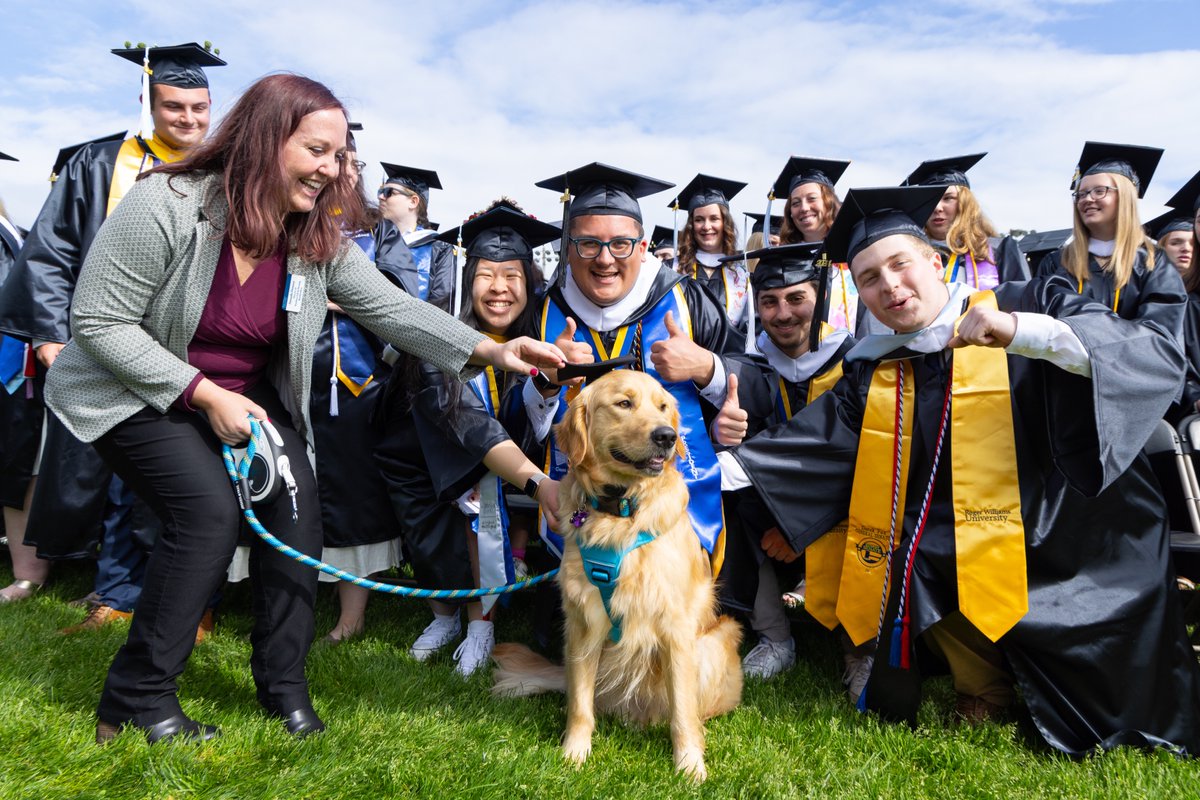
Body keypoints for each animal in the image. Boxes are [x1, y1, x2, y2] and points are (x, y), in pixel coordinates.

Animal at [489, 371, 739, 782]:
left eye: (663, 407)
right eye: (624, 403)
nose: (667, 436)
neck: (621, 510)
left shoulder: (676, 628)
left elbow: (683, 712)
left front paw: (689, 764)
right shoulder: (582, 621)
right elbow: (580, 705)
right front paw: (574, 753)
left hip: (716, 641)